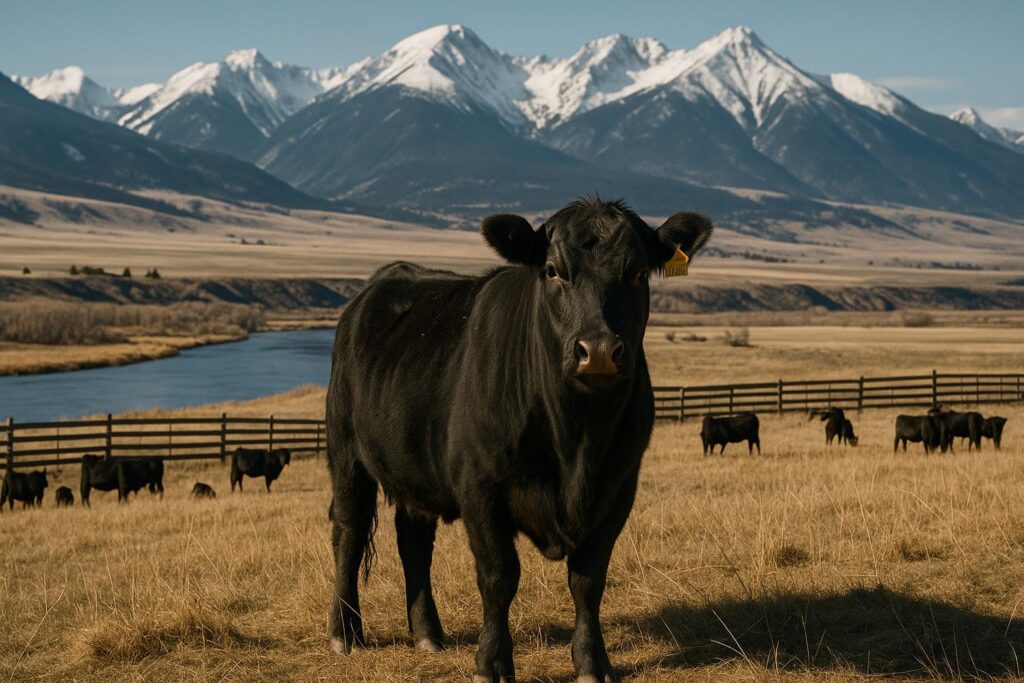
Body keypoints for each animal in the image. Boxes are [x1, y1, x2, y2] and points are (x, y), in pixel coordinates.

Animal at [324, 197, 713, 681]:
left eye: (639, 273)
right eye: (552, 270)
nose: (599, 351)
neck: (576, 442)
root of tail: (385, 278)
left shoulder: (619, 486)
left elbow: (589, 580)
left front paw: (593, 662)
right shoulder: (480, 487)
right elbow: (498, 576)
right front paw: (491, 663)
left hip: (414, 465)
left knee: (413, 539)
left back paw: (428, 634)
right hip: (346, 454)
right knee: (349, 530)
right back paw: (345, 634)